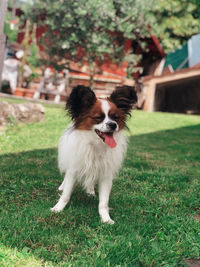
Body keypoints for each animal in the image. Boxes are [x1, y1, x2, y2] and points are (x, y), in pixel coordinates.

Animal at [50, 85, 138, 224]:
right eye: (98, 117)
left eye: (115, 117)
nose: (113, 125)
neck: (96, 145)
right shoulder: (73, 169)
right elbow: (66, 194)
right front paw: (58, 208)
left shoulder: (106, 174)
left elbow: (104, 202)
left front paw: (106, 218)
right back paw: (62, 187)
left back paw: (90, 191)